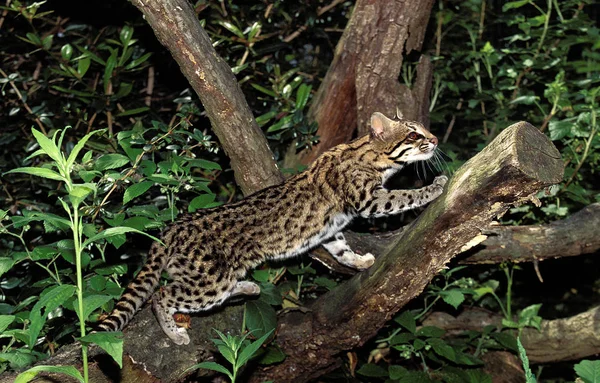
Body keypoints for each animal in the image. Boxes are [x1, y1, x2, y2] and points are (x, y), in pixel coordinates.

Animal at [97, 111, 446, 344]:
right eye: (414, 134)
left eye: (424, 129)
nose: (435, 138)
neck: (370, 156)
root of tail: (172, 228)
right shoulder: (369, 200)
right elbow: (403, 196)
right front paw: (434, 187)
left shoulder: (332, 228)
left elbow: (340, 248)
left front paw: (359, 261)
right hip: (208, 281)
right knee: (163, 295)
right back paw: (174, 332)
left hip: (217, 276)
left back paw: (249, 288)